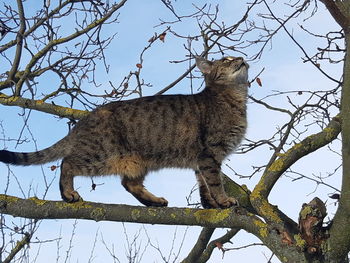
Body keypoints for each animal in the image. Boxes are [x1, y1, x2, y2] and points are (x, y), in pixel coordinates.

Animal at [0, 56, 249, 209]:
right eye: (226, 59)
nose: (241, 57)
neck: (234, 98)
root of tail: (86, 119)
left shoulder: (201, 160)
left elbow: (204, 185)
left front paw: (211, 205)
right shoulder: (210, 153)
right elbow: (215, 182)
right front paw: (224, 201)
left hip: (137, 162)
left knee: (130, 184)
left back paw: (154, 201)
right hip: (101, 155)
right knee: (67, 162)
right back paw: (68, 193)